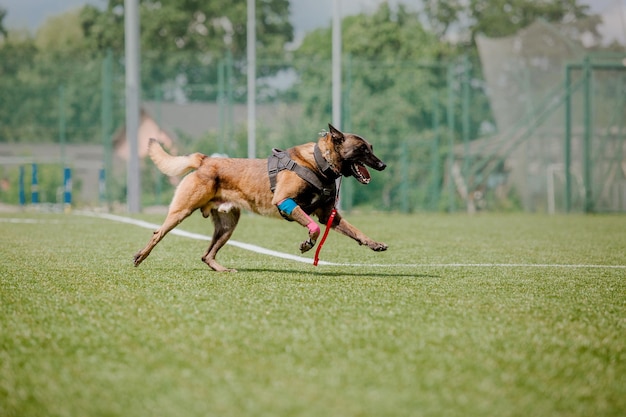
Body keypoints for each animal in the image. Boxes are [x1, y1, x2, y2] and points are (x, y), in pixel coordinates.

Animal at [133, 123, 386, 272]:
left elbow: (355, 231)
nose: (383, 165)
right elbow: (313, 228)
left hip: (227, 226)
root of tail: (205, 160)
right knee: (158, 233)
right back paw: (140, 256)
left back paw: (222, 270)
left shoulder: (328, 215)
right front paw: (307, 244)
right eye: (362, 149)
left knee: (206, 255)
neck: (318, 162)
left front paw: (374, 243)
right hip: (181, 211)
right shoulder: (285, 201)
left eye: (371, 147)